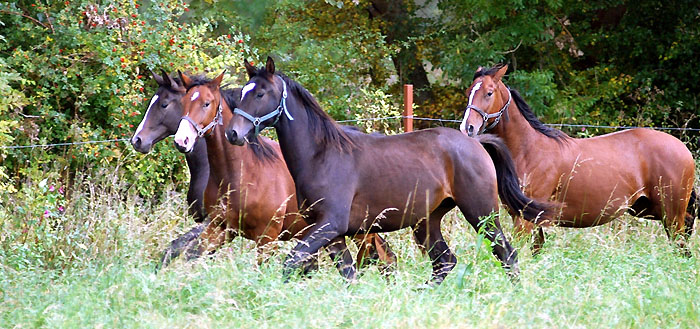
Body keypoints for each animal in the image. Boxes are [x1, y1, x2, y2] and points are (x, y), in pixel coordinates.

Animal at [170, 69, 396, 270]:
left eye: (206, 103)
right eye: (183, 103)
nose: (182, 140)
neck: (239, 174)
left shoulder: (266, 237)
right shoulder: (220, 228)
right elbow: (189, 256)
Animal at [223, 57, 552, 284]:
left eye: (261, 94)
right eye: (243, 93)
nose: (233, 134)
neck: (322, 155)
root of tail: (476, 140)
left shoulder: (330, 225)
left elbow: (291, 263)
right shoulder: (331, 233)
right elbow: (346, 273)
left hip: (481, 212)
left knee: (506, 253)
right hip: (427, 221)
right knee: (444, 261)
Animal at [460, 64, 696, 254]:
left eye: (489, 93)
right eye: (469, 92)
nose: (467, 128)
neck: (529, 150)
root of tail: (683, 149)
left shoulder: (525, 218)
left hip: (672, 216)